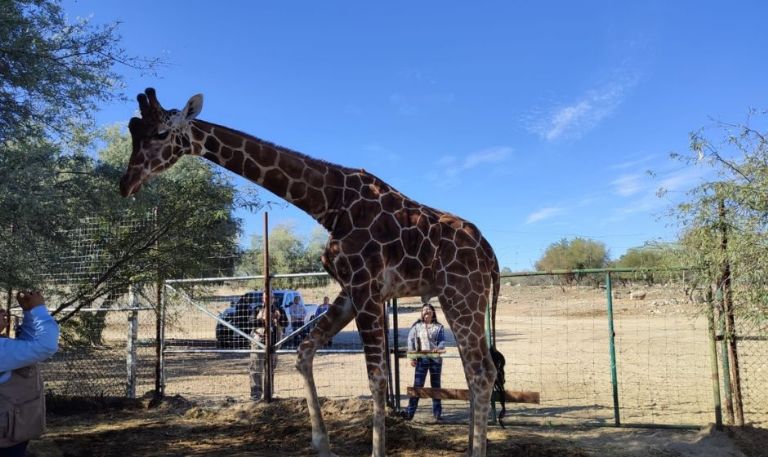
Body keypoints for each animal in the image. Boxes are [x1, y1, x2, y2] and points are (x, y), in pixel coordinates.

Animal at [120, 88, 507, 457]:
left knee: (481, 373)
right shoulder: (350, 290)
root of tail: (490, 254)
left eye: (161, 132)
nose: (126, 183)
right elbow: (304, 351)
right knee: (477, 372)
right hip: (457, 296)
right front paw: (322, 445)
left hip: (462, 293)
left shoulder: (366, 287)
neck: (328, 203)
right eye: (133, 131)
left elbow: (377, 378)